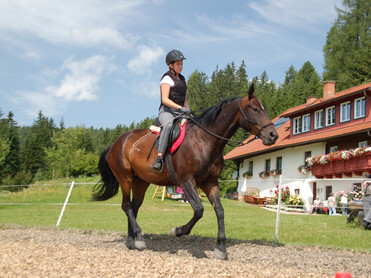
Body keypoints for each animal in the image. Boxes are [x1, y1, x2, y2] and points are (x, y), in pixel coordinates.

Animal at [93, 84, 280, 258]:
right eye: (255, 109)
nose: (273, 135)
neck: (206, 140)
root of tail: (116, 143)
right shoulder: (186, 181)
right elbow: (199, 210)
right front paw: (177, 231)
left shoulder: (210, 182)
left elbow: (219, 210)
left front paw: (221, 248)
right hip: (125, 178)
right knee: (126, 206)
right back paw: (139, 237)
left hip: (141, 182)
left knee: (133, 207)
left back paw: (133, 241)